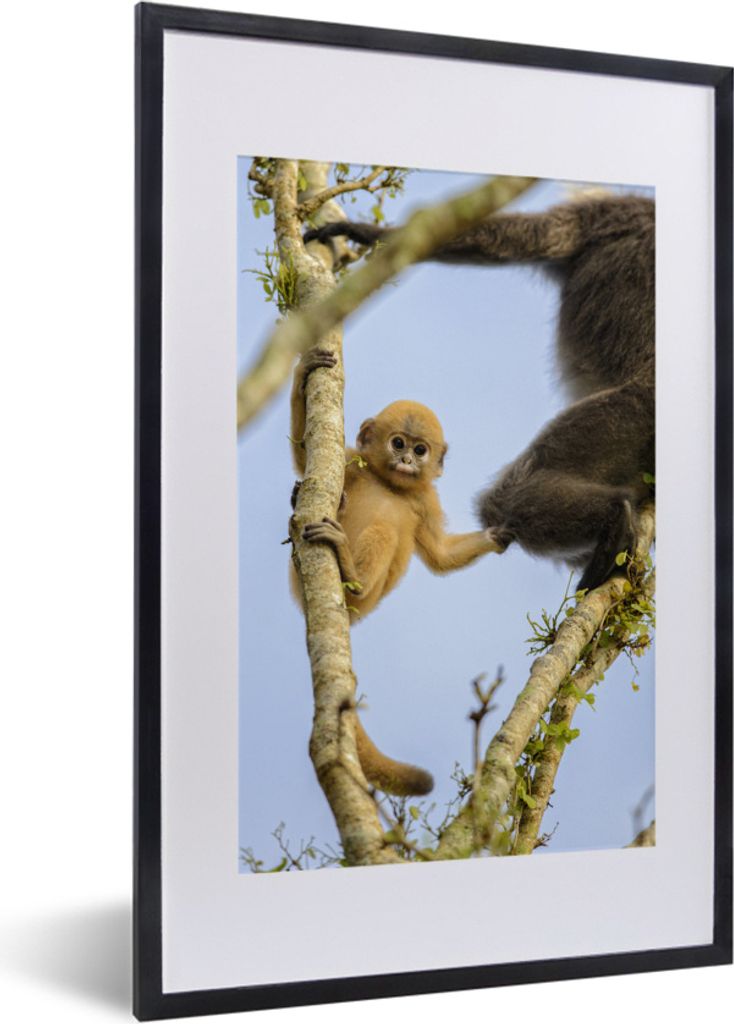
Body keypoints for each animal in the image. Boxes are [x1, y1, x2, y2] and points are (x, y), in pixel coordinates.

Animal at [290, 349, 502, 794]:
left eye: (420, 450)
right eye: (398, 443)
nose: (406, 460)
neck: (392, 485)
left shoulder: (425, 499)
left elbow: (439, 555)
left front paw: (497, 536)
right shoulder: (352, 463)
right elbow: (305, 462)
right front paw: (304, 371)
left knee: (387, 531)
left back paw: (348, 572)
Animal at [304, 192, 655, 592]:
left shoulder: (600, 212)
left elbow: (509, 237)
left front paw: (361, 231)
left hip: (625, 413)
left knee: (504, 501)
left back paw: (615, 521)